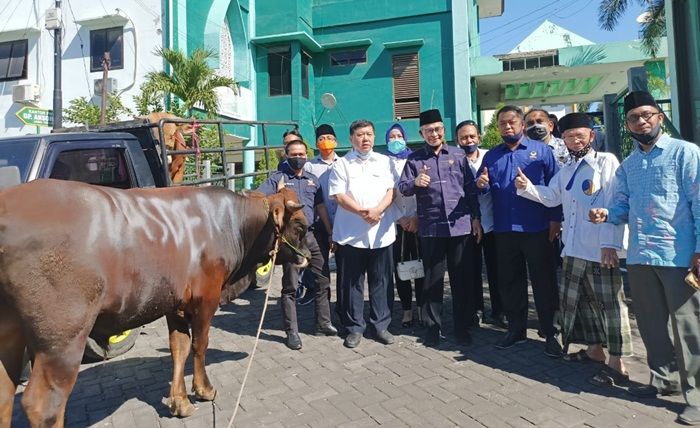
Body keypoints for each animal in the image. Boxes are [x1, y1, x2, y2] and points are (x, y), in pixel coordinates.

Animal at [0, 178, 308, 424]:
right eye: (300, 226)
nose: (308, 257)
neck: (230, 223)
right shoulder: (206, 298)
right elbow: (200, 345)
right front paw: (204, 390)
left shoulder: (175, 304)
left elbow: (179, 348)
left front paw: (180, 402)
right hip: (62, 338)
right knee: (44, 406)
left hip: (12, 333)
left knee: (4, 396)